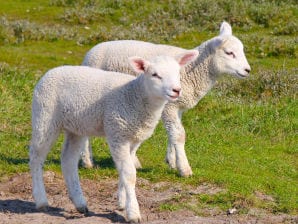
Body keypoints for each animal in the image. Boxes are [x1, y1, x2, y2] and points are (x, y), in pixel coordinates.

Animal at [29, 51, 198, 222]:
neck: (135, 95)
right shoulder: (118, 133)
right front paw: (133, 213)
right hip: (45, 117)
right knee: (36, 157)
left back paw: (80, 203)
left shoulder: (133, 138)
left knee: (68, 161)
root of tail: (52, 71)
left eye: (178, 72)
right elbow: (129, 174)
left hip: (76, 127)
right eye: (155, 74)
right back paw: (42, 201)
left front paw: (122, 203)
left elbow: (124, 171)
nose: (176, 90)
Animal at [80, 21, 250, 178]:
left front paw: (172, 161)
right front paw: (184, 169)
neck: (194, 70)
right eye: (229, 53)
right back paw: (88, 161)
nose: (247, 70)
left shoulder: (177, 106)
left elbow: (173, 133)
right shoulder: (169, 106)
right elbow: (179, 134)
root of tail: (89, 53)